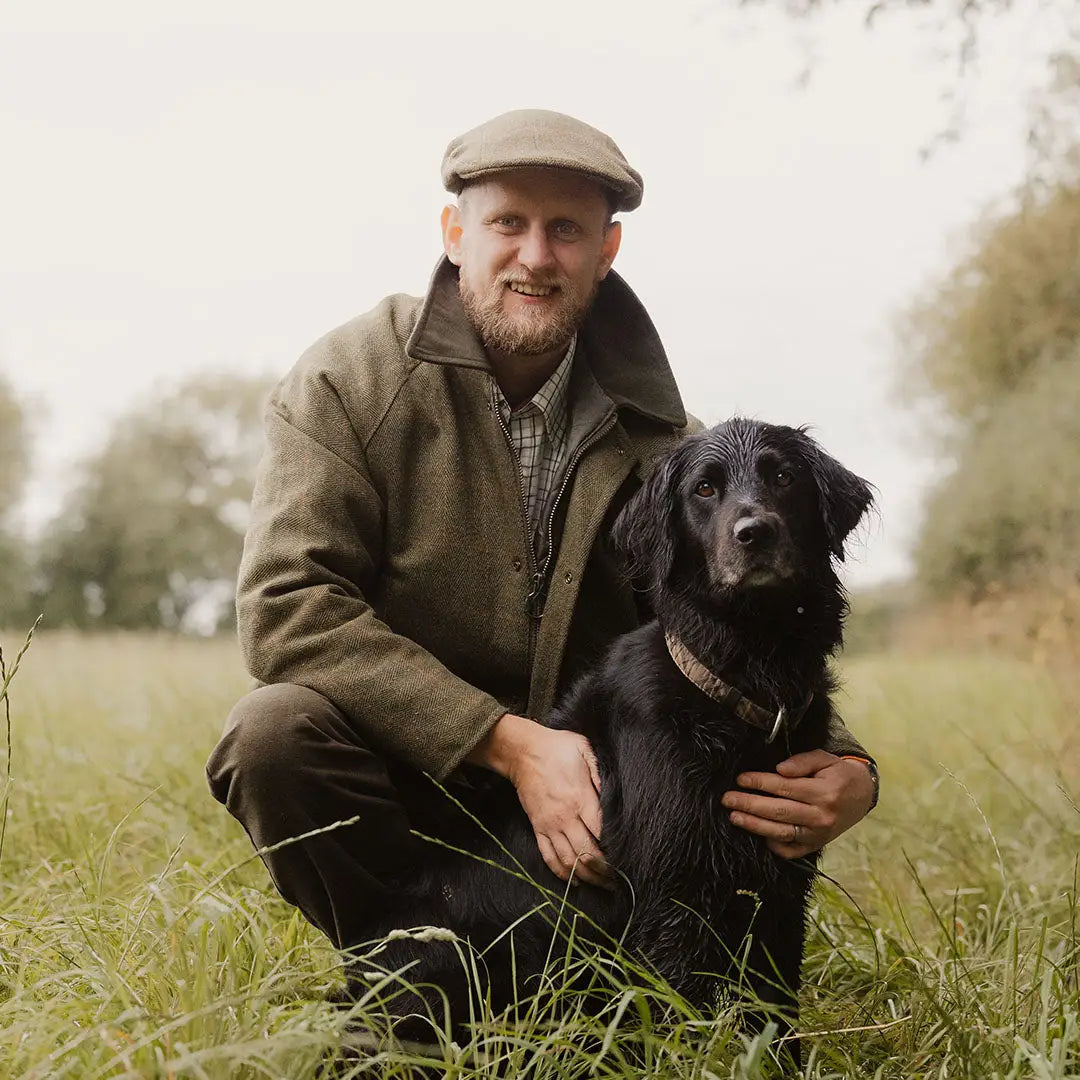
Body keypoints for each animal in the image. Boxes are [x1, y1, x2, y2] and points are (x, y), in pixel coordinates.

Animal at [356, 419, 876, 1054]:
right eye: (704, 489)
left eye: (783, 477)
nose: (755, 533)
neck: (739, 677)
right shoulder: (672, 893)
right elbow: (687, 1014)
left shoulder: (780, 888)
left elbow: (774, 1016)